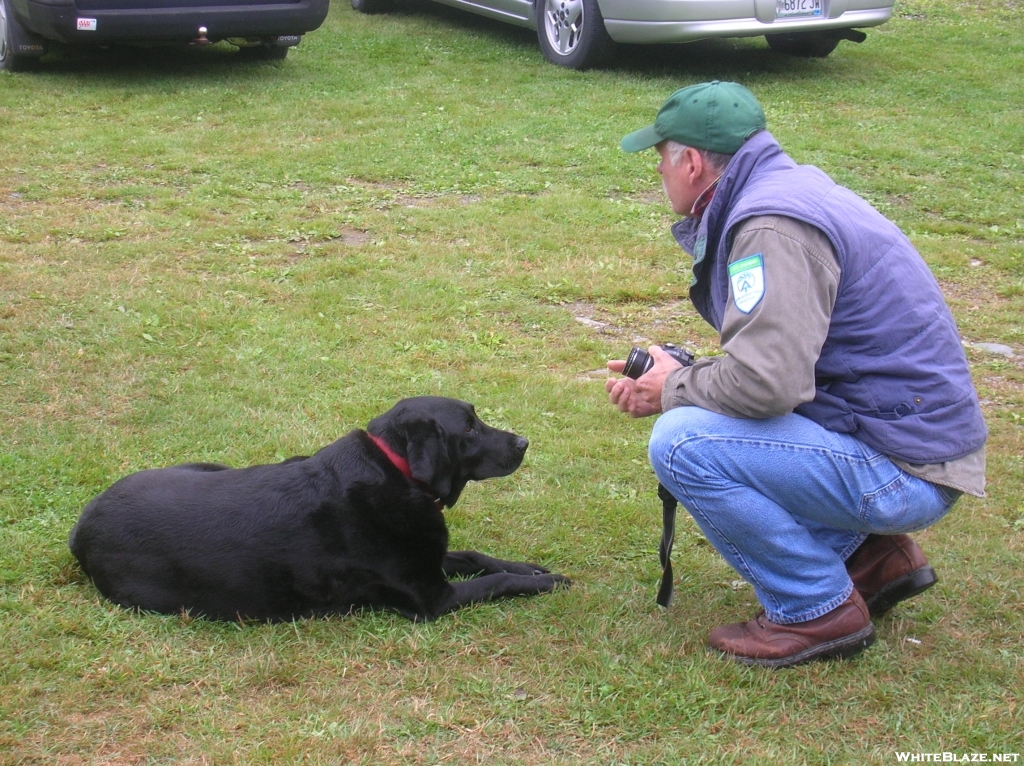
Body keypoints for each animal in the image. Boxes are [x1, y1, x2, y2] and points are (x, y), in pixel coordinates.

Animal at [68, 401, 569, 622]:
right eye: (467, 427)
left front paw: (531, 567)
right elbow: (495, 581)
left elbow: (478, 558)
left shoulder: (429, 556)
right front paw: (544, 582)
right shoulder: (432, 598)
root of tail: (81, 528)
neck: (396, 471)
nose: (523, 442)